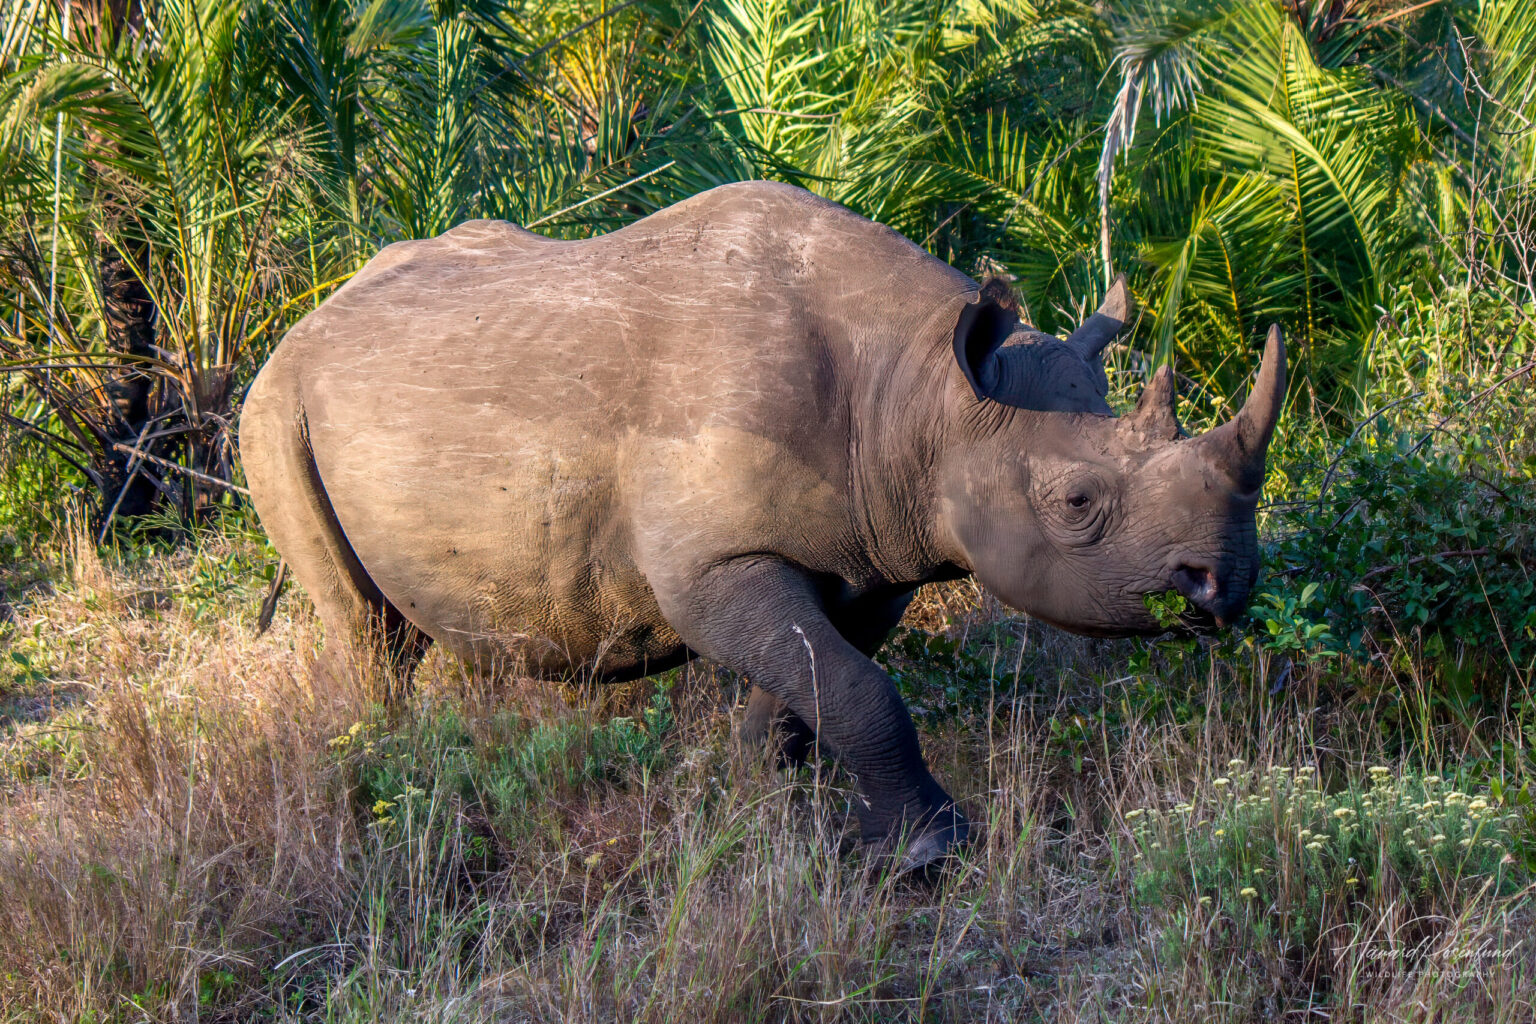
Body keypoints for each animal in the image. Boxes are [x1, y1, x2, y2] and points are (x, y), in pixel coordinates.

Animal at [240, 180, 1284, 868]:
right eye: (1076, 503)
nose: (1224, 585)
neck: (923, 392)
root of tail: (312, 316)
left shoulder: (875, 551)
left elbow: (819, 687)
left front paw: (754, 805)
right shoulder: (712, 565)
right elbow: (860, 691)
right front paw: (931, 856)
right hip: (273, 409)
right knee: (365, 627)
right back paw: (397, 782)